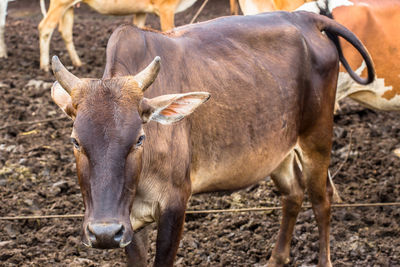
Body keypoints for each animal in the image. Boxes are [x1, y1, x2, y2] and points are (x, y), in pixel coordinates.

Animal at [38, 0, 198, 72]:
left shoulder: (141, 10)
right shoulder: (166, 7)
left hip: (69, 7)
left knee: (65, 31)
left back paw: (78, 63)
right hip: (60, 3)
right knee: (45, 27)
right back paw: (44, 66)